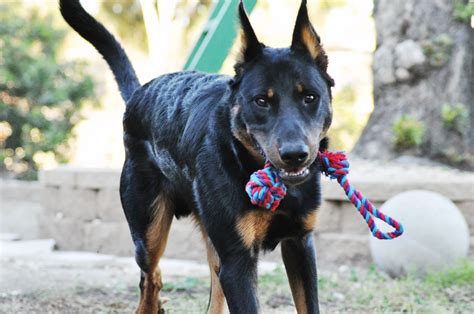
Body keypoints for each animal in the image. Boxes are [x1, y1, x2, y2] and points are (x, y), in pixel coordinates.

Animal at [60, 0, 334, 312]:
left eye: (310, 97)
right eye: (261, 101)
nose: (295, 155)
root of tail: (138, 95)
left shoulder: (300, 244)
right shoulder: (237, 260)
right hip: (149, 232)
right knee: (150, 278)